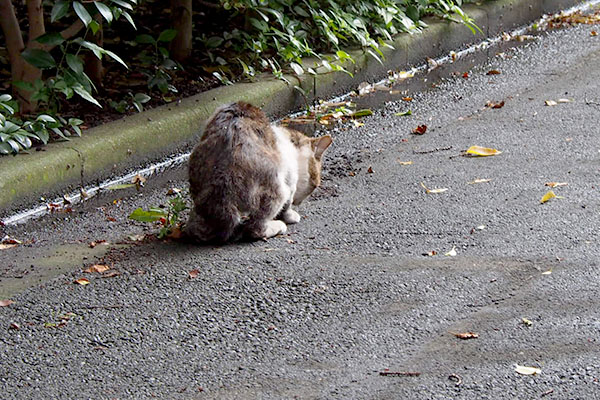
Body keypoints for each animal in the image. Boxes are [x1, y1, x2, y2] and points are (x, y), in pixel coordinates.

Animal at [185, 101, 332, 242]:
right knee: (255, 228)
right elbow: (287, 205)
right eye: (314, 186)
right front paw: (291, 215)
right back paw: (276, 226)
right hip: (277, 191)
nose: (300, 203)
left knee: (197, 231)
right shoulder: (290, 179)